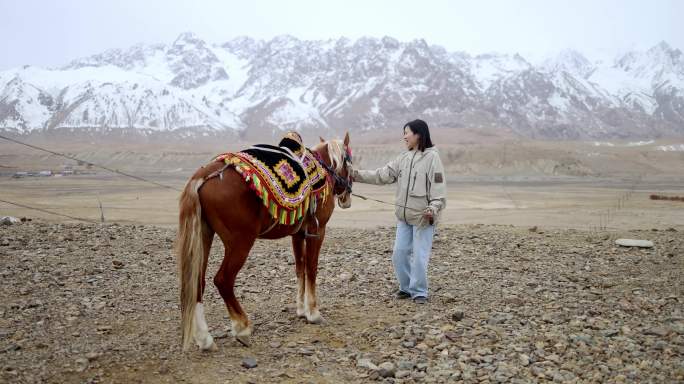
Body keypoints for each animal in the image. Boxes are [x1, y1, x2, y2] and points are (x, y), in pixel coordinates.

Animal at [174, 134, 356, 352]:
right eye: (350, 162)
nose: (347, 198)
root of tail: (204, 174)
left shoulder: (298, 234)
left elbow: (300, 268)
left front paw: (301, 310)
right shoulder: (316, 231)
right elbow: (311, 269)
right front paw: (313, 313)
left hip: (204, 236)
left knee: (197, 282)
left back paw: (205, 339)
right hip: (240, 242)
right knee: (223, 280)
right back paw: (242, 328)